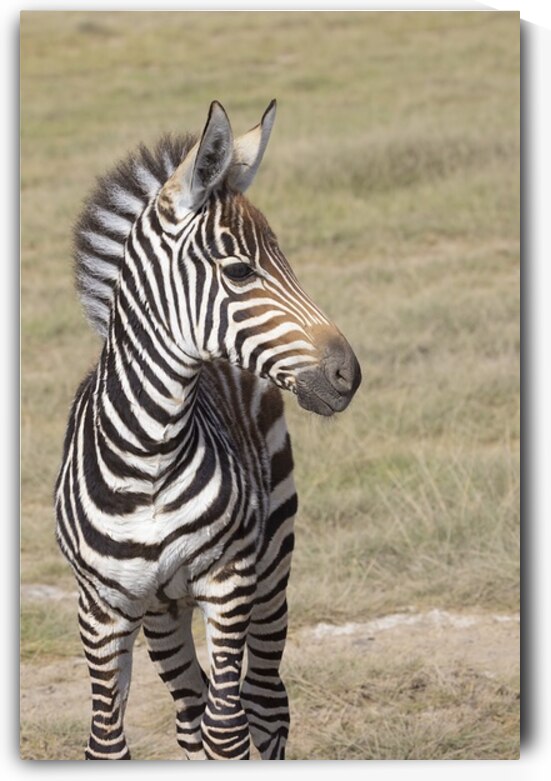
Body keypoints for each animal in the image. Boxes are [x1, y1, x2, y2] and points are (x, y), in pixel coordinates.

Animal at [55, 100, 361, 761]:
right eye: (240, 271)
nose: (349, 375)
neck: (146, 457)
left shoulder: (229, 582)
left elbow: (229, 729)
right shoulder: (101, 608)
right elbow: (107, 743)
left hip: (272, 563)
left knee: (263, 701)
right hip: (163, 612)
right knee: (190, 712)